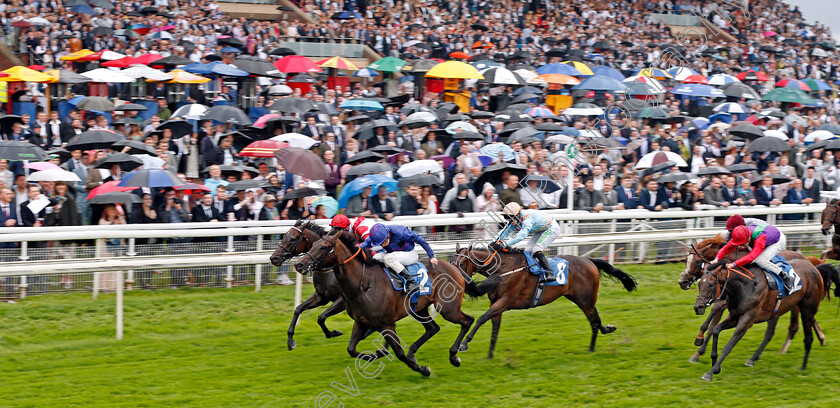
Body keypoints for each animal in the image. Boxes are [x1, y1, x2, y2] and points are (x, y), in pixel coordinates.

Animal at [270, 220, 346, 350]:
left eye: (293, 239)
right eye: (284, 236)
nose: (274, 258)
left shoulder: (343, 300)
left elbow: (321, 317)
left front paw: (334, 333)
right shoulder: (321, 297)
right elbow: (298, 309)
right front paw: (290, 340)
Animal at [296, 230, 476, 376]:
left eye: (324, 247)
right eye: (313, 244)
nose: (299, 264)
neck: (363, 284)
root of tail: (454, 267)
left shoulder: (386, 325)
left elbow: (399, 353)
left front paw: (423, 370)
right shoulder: (361, 322)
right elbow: (351, 349)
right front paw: (373, 355)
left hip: (448, 308)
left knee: (467, 321)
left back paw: (453, 355)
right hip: (419, 309)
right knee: (433, 328)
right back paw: (415, 352)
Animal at [452, 244, 636, 358]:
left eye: (461, 262)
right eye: (452, 262)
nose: (455, 278)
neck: (503, 269)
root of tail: (589, 260)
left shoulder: (505, 302)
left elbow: (482, 318)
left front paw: (464, 344)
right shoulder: (496, 304)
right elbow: (494, 331)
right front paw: (490, 357)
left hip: (585, 300)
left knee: (593, 321)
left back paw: (591, 349)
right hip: (579, 299)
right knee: (596, 319)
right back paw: (607, 329)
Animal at [680, 234, 832, 362]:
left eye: (697, 261)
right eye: (686, 260)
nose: (682, 281)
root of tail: (808, 261)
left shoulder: (726, 301)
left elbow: (713, 315)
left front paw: (699, 340)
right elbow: (713, 324)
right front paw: (698, 351)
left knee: (797, 323)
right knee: (806, 319)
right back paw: (821, 338)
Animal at [692, 252, 836, 382]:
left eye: (711, 284)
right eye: (699, 284)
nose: (697, 307)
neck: (744, 286)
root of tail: (815, 268)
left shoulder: (747, 320)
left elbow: (728, 346)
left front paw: (710, 372)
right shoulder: (735, 316)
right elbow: (716, 329)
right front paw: (714, 364)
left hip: (807, 309)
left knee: (808, 337)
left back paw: (803, 367)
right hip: (779, 310)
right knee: (770, 333)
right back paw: (752, 359)